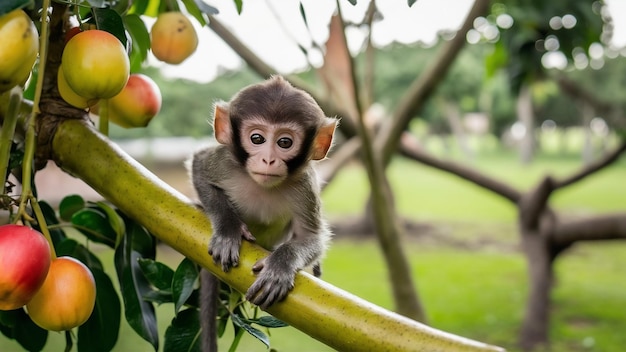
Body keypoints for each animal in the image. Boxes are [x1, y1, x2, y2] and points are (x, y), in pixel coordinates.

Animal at [190, 75, 336, 350]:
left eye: (285, 142)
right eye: (257, 138)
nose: (268, 160)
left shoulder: (304, 186)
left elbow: (311, 236)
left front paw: (280, 267)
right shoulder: (226, 162)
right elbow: (199, 168)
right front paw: (228, 230)